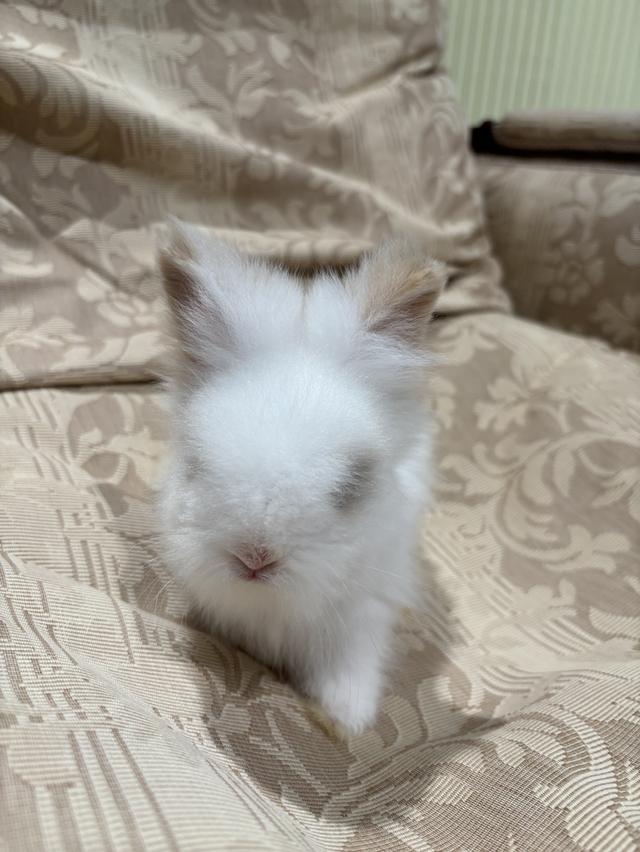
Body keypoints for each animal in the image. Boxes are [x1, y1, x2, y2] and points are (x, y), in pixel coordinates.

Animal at [156, 220, 445, 736]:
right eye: (196, 463)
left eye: (351, 484)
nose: (254, 560)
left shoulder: (363, 612)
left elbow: (350, 668)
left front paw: (348, 717)